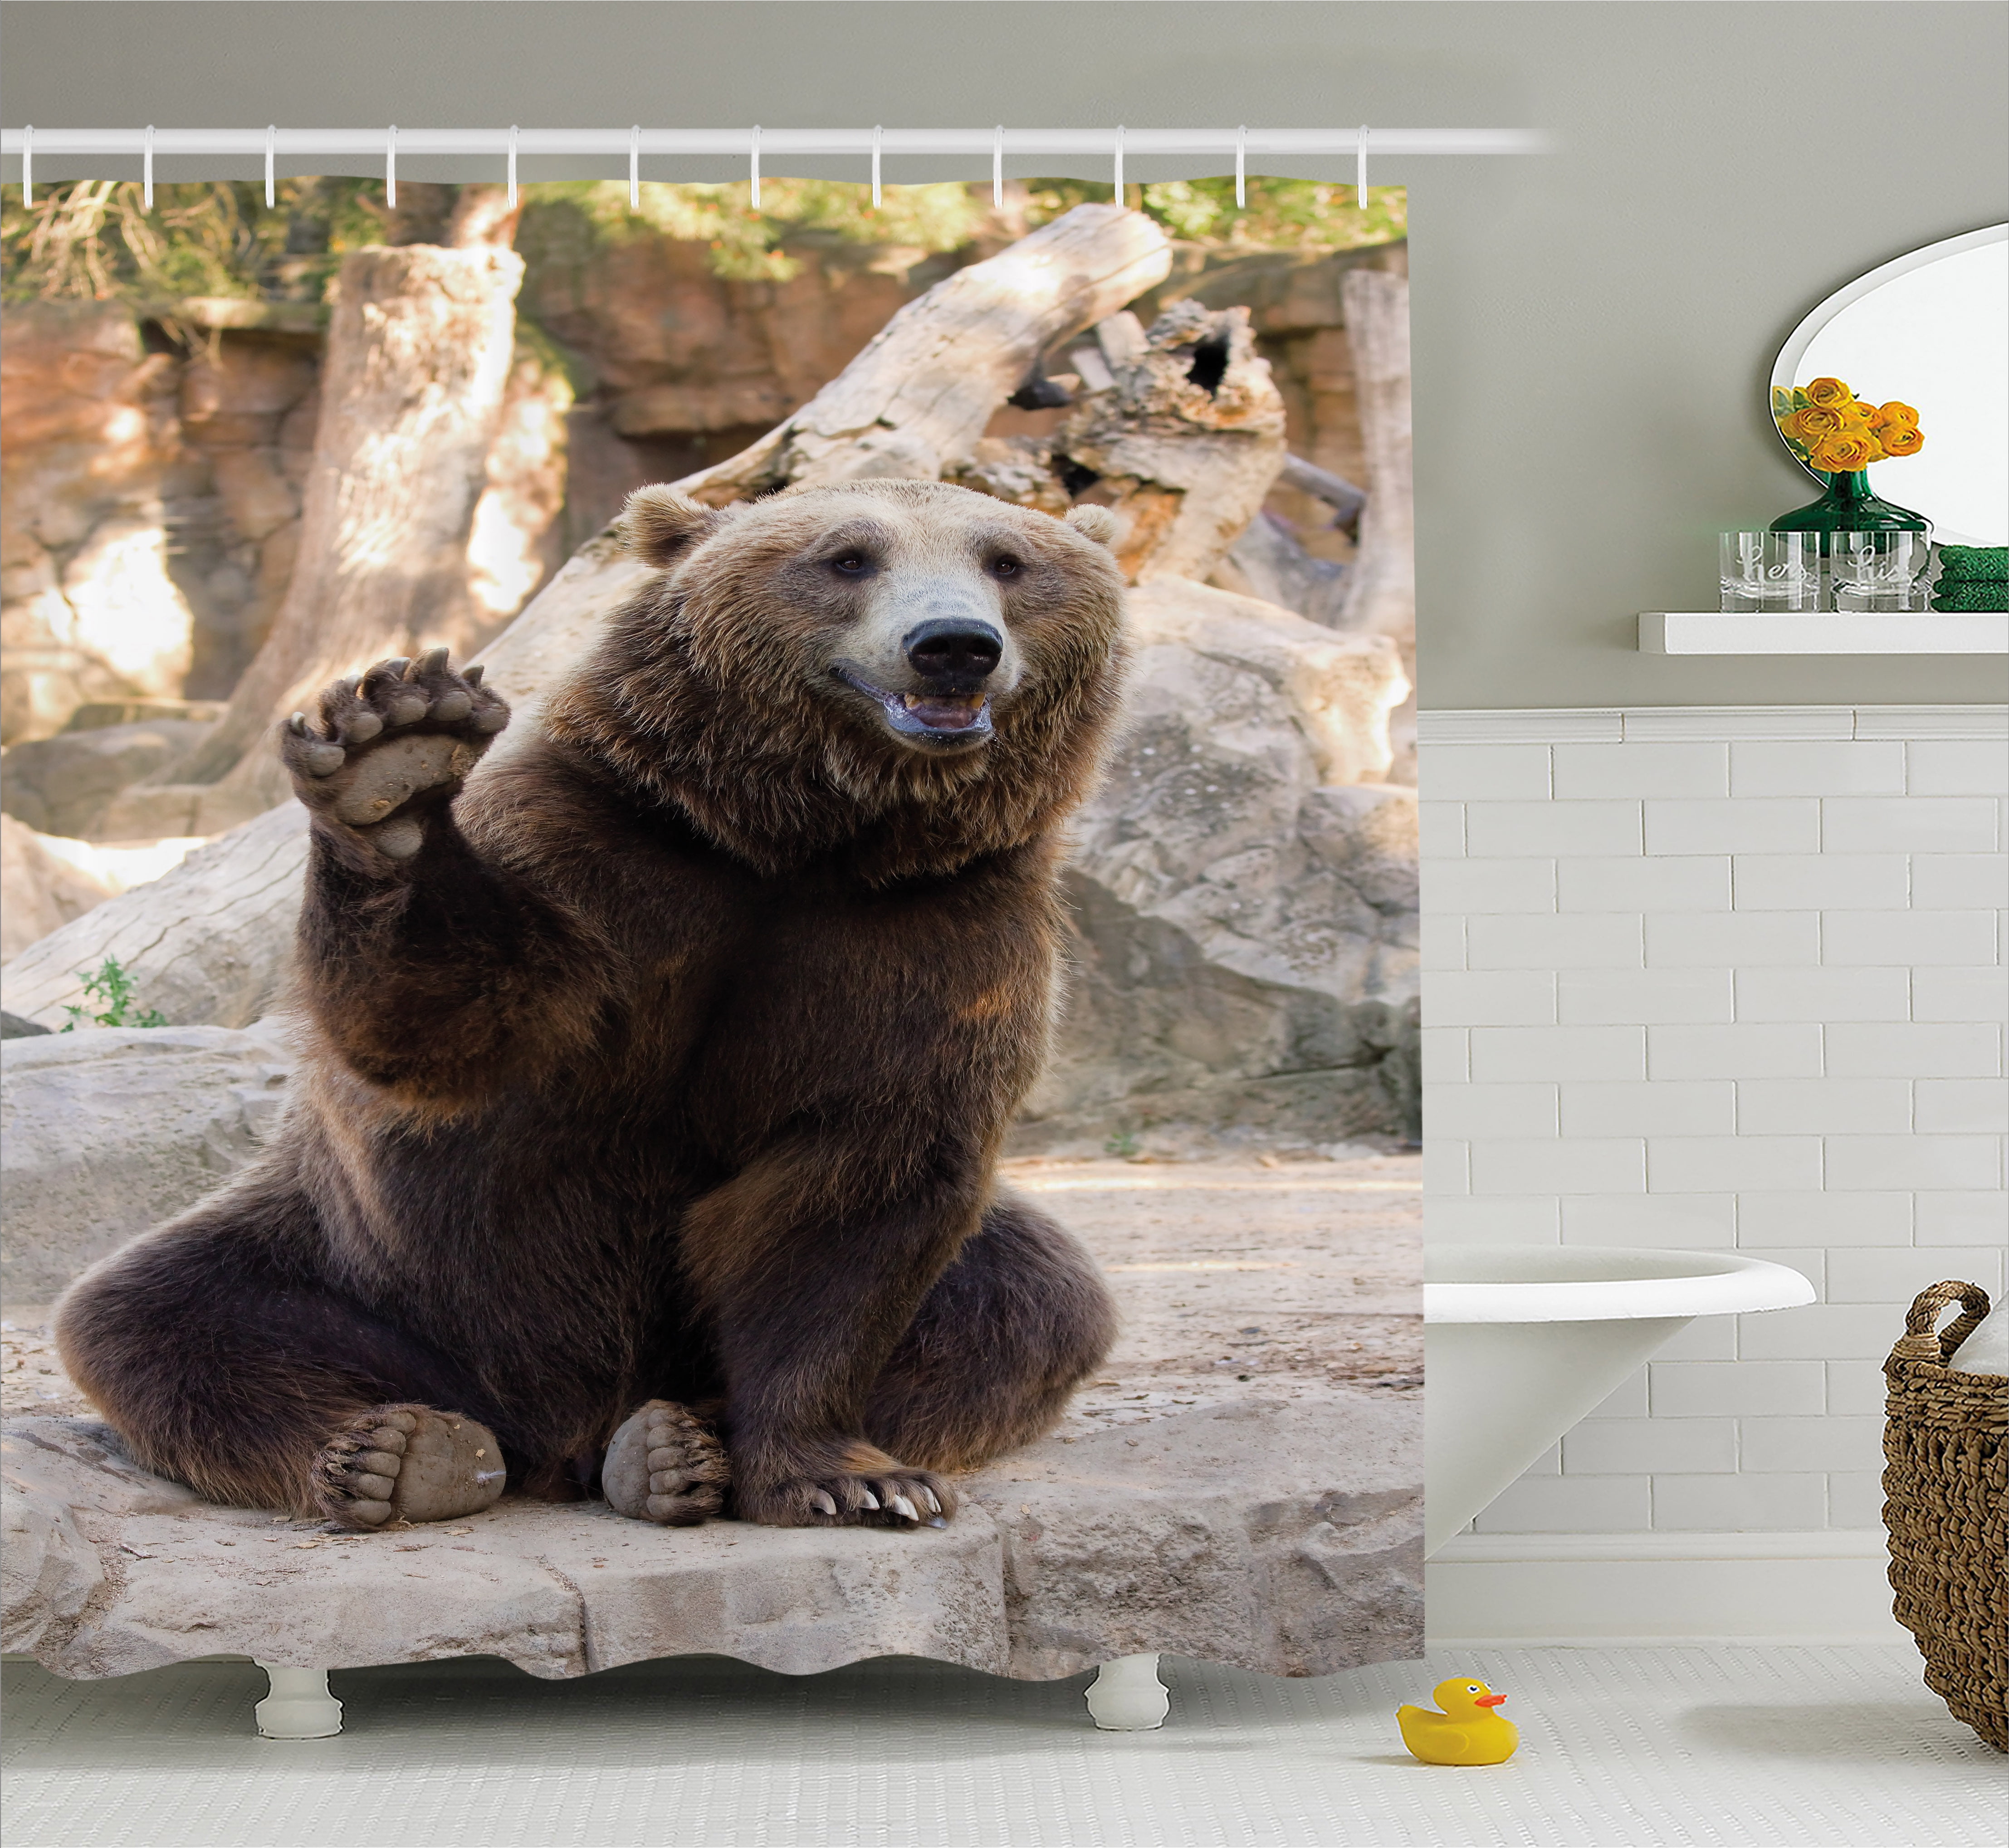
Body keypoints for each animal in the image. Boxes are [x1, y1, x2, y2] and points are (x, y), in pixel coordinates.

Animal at [55, 479, 1129, 1534]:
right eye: (847, 557)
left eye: (1006, 560)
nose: (953, 643)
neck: (807, 840)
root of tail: (554, 1437)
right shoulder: (600, 857)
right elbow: (445, 1026)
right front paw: (392, 764)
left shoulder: (937, 932)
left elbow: (859, 1195)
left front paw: (852, 1480)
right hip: (364, 1265)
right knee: (158, 1316)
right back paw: (397, 1456)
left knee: (1034, 1300)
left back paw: (669, 1448)